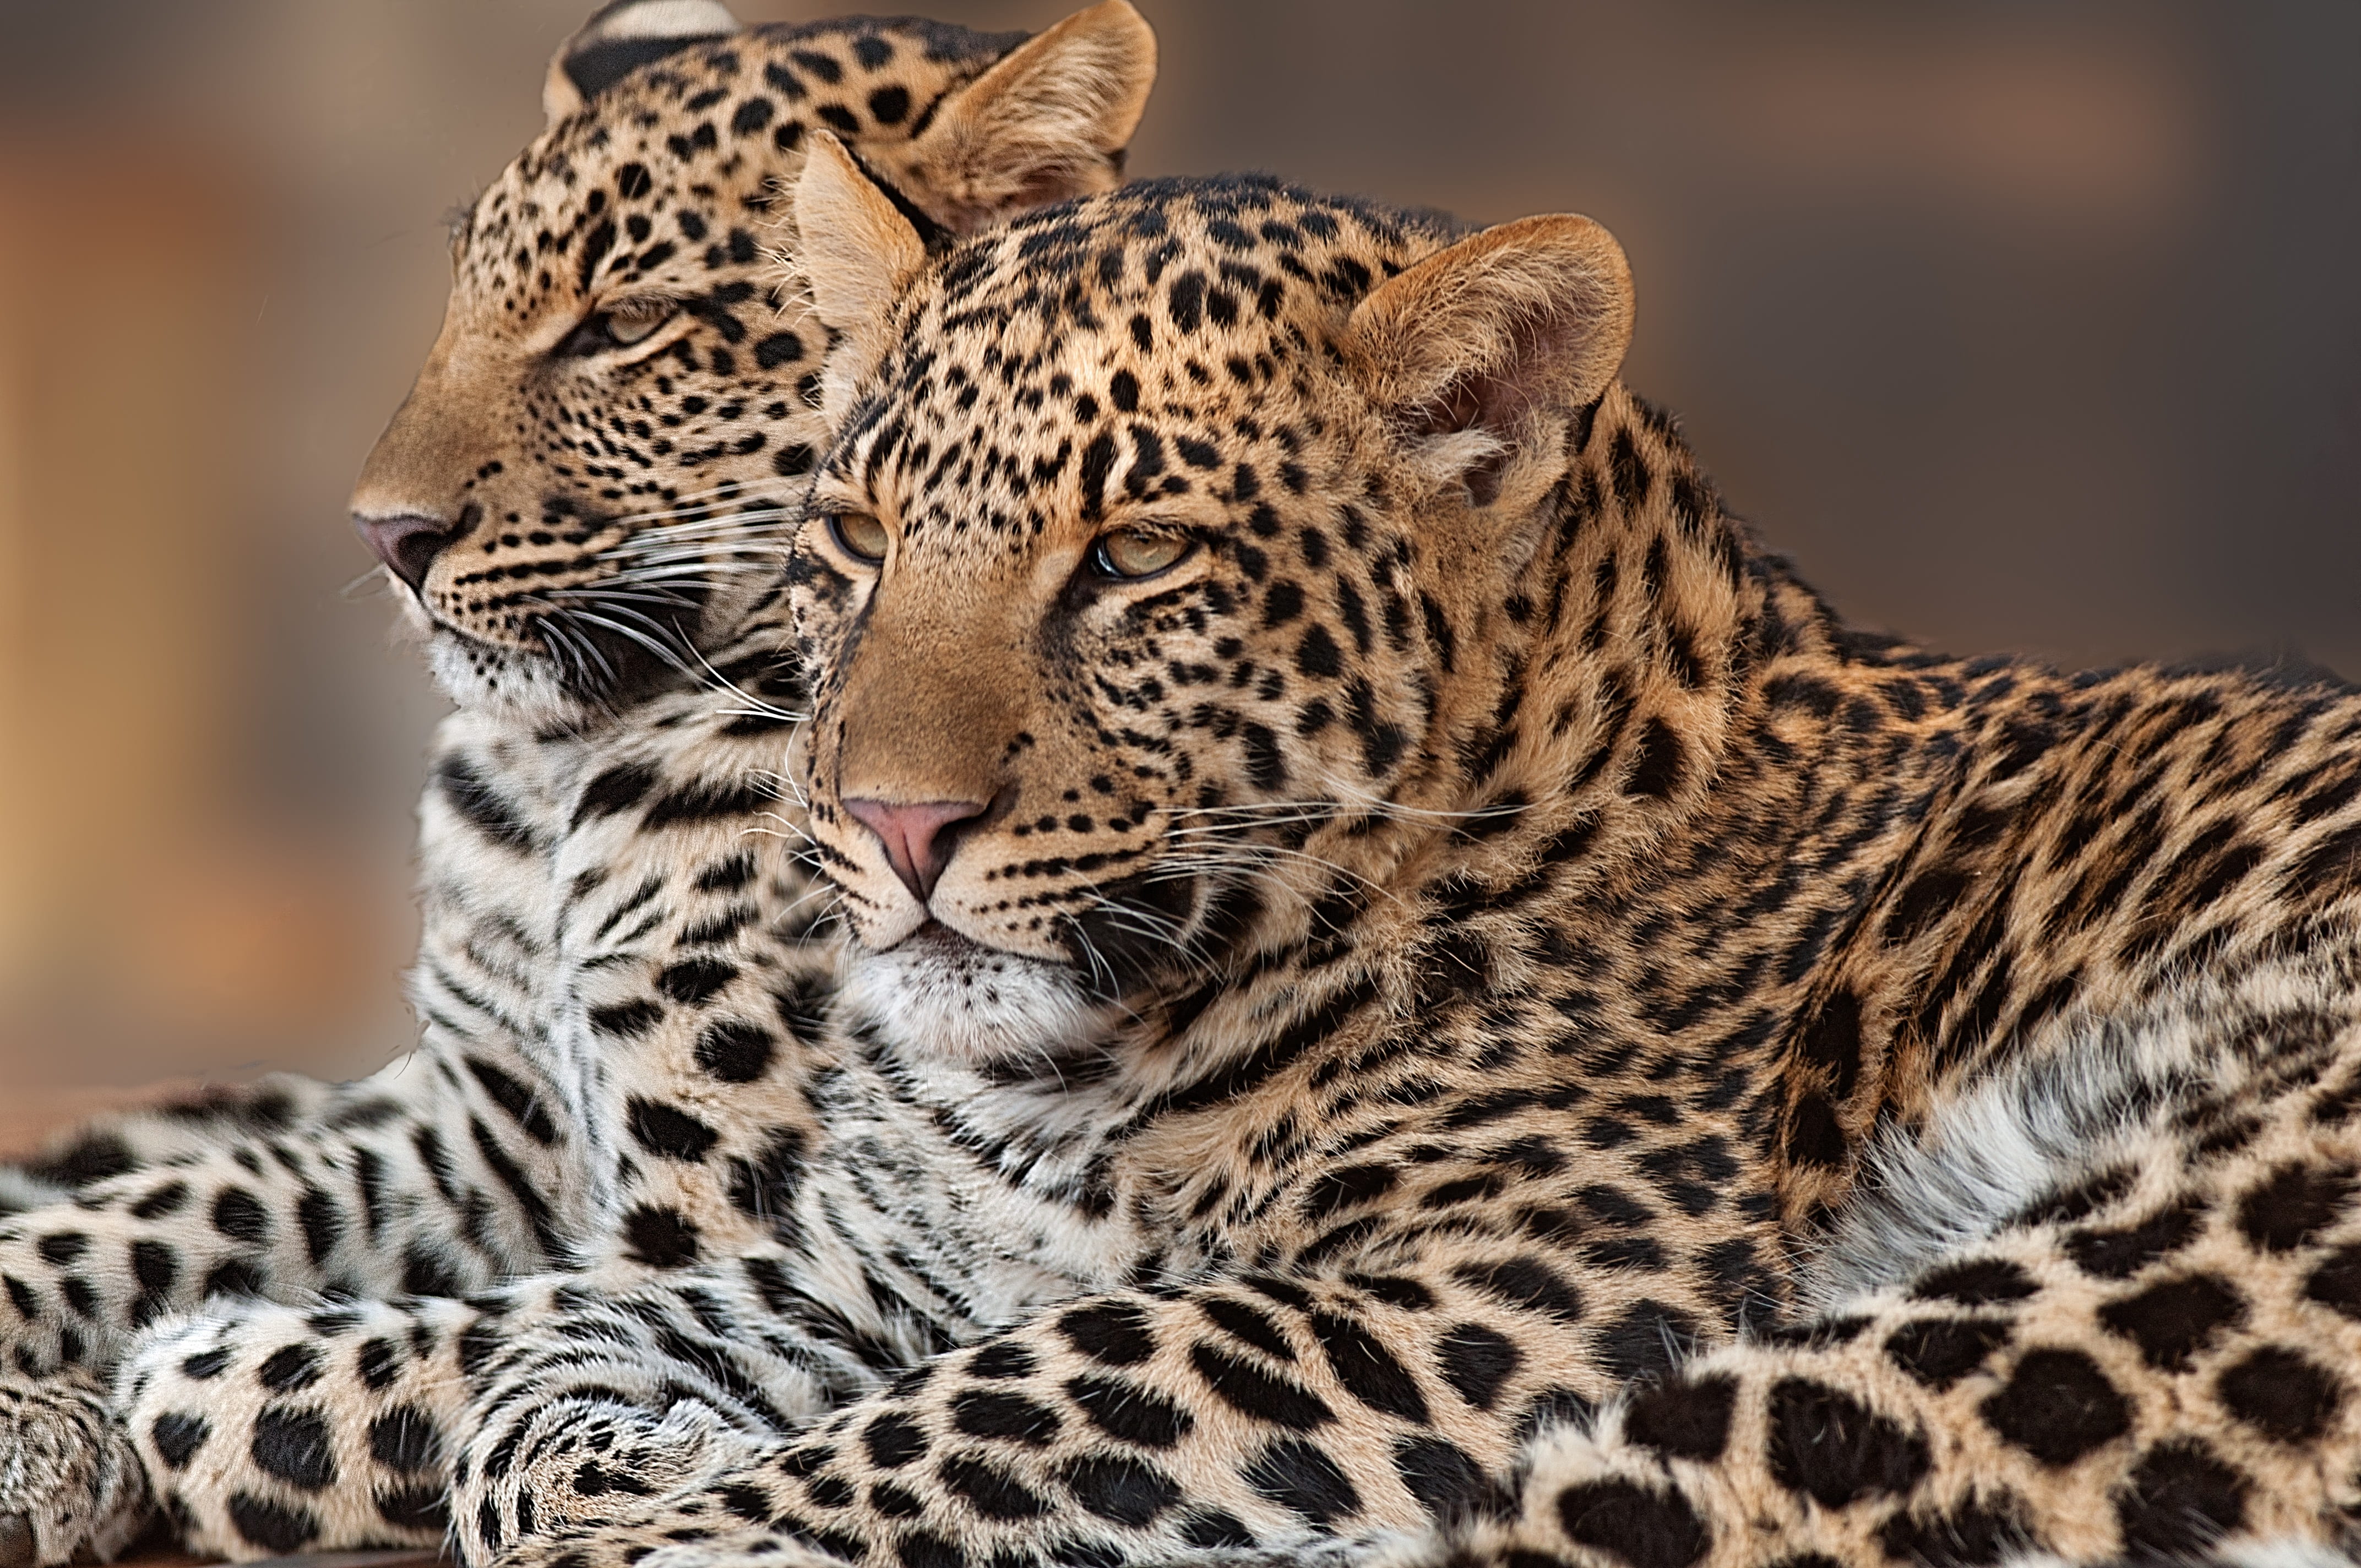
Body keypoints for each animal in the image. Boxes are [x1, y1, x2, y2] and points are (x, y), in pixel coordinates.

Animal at [0, 5, 1156, 1562]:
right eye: (463, 302)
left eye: (626, 325)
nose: (382, 535)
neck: (560, 783)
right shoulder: (466, 1138)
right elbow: (166, 1212)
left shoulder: (741, 1226)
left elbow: (396, 1352)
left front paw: (100, 1417)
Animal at [101, 152, 2361, 1568]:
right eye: (855, 537)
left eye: (1135, 560)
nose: (885, 825)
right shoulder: (905, 1244)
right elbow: (603, 1318)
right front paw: (299, 1359)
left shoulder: (1506, 1297)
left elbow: (1014, 1384)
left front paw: (604, 1475)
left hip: (2102, 1271)